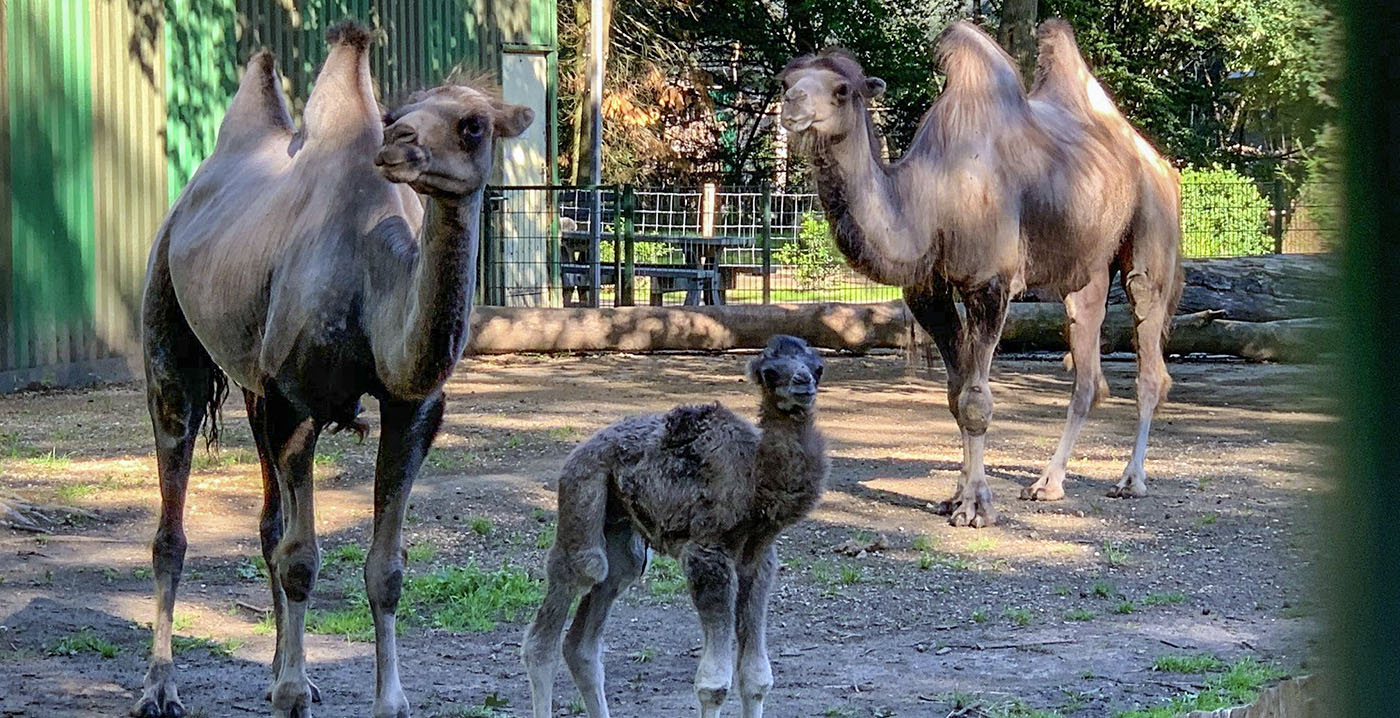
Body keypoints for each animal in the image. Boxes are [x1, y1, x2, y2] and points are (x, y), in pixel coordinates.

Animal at [132, 20, 534, 716]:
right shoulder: (297, 403)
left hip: (252, 385)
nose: (398, 144)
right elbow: (301, 559)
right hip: (168, 329)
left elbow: (386, 568)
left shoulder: (413, 408)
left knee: (267, 521)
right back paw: (161, 687)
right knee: (172, 526)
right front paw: (293, 694)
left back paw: (272, 668)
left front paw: (384, 699)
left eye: (473, 125)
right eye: (398, 115)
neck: (371, 276)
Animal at [526, 335, 828, 716]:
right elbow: (714, 685)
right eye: (770, 372)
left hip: (621, 536)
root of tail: (580, 450)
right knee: (560, 607)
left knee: (584, 640)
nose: (803, 383)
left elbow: (756, 679)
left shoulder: (758, 559)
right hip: (581, 500)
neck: (755, 480)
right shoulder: (706, 552)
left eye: (818, 367)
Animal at [778, 19, 1181, 526]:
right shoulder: (927, 292)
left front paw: (975, 506)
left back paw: (1131, 479)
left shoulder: (989, 282)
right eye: (786, 80)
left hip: (1151, 231)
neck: (934, 196)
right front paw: (954, 496)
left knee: (1148, 347)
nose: (791, 105)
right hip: (1084, 268)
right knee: (1087, 370)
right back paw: (1048, 484)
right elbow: (955, 396)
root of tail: (1158, 161)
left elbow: (976, 399)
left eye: (842, 89)